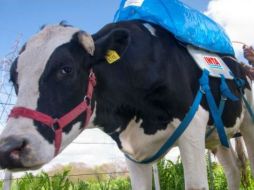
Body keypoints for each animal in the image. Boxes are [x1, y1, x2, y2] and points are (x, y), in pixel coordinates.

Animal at [0, 20, 254, 190]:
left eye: (66, 69)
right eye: (13, 79)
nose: (8, 148)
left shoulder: (192, 126)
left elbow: (195, 185)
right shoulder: (131, 148)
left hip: (249, 123)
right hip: (217, 136)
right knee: (233, 169)